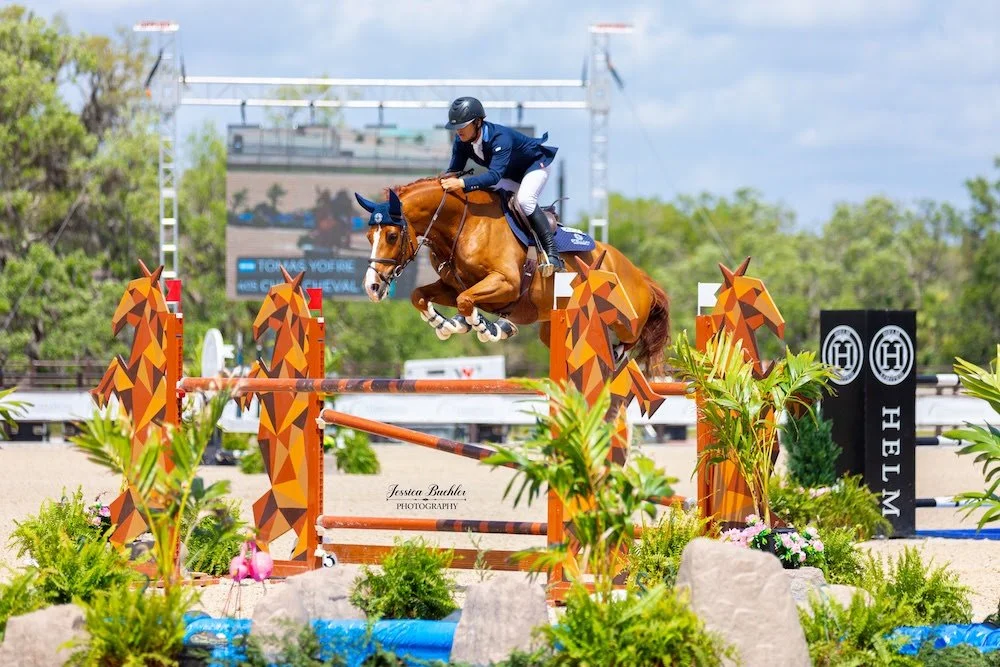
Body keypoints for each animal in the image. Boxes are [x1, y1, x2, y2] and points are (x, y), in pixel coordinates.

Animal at [354, 177, 671, 373]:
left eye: (392, 235)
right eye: (369, 236)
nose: (372, 287)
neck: (464, 225)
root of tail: (639, 275)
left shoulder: (505, 284)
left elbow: (467, 302)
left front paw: (487, 328)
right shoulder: (451, 285)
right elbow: (420, 295)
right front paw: (446, 325)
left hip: (625, 316)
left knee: (629, 338)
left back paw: (616, 354)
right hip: (553, 328)